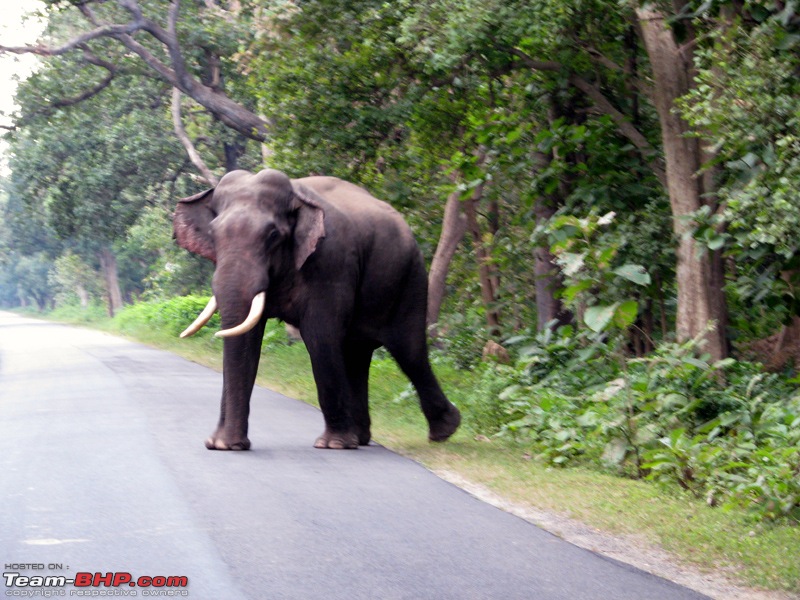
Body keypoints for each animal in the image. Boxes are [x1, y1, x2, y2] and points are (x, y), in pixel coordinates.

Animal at [175, 169, 462, 450]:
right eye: (213, 234)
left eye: (273, 235)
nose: (222, 443)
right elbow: (249, 338)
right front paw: (224, 445)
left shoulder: (331, 262)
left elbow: (319, 336)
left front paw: (333, 445)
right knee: (356, 353)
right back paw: (360, 438)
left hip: (409, 278)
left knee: (409, 351)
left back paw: (443, 431)